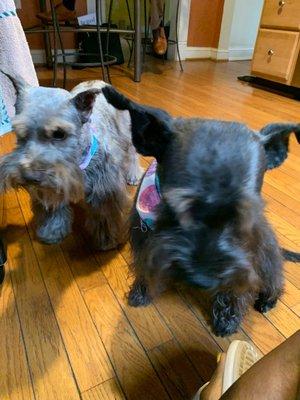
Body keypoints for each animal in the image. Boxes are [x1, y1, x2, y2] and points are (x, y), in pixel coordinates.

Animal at [0, 74, 142, 250]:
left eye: (59, 133)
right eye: (18, 131)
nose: (29, 177)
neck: (77, 162)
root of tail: (97, 81)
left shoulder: (104, 193)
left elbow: (105, 217)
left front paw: (108, 240)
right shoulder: (51, 189)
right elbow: (54, 211)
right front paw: (52, 232)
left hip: (126, 134)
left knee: (132, 153)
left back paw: (133, 175)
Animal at [101, 85, 300, 338]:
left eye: (244, 214)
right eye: (174, 207)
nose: (201, 280)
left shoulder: (246, 258)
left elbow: (237, 289)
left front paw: (227, 319)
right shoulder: (143, 239)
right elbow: (143, 266)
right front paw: (140, 292)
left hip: (267, 257)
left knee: (275, 280)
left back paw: (268, 300)